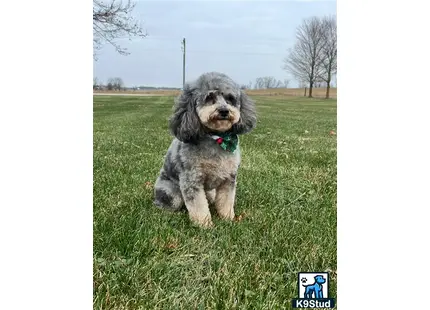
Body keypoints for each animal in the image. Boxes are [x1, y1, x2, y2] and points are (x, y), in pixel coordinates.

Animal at [154, 72, 256, 228]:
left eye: (230, 98)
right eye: (209, 98)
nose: (224, 111)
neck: (218, 139)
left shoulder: (229, 179)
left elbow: (226, 201)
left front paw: (228, 219)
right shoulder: (191, 180)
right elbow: (198, 206)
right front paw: (204, 225)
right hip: (172, 193)